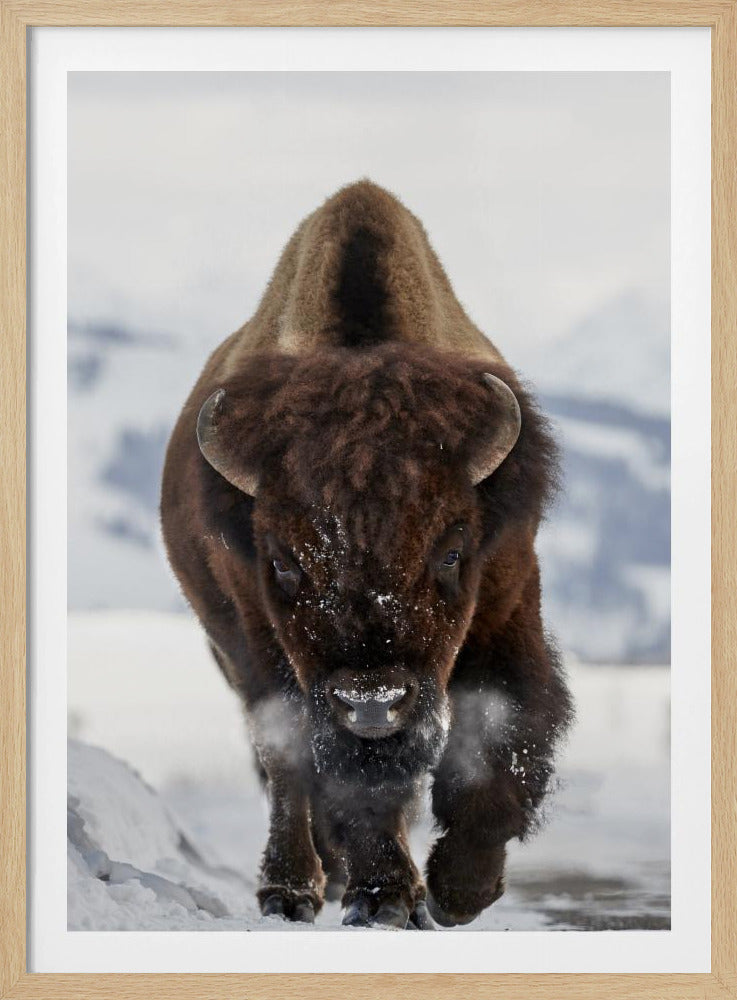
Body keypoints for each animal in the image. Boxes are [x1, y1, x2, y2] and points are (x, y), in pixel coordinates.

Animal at [161, 180, 572, 929]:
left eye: (452, 550)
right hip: (238, 653)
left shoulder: (506, 603)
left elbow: (504, 731)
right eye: (283, 561)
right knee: (286, 768)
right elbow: (333, 775)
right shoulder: (268, 644)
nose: (373, 704)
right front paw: (384, 896)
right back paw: (294, 890)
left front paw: (457, 891)